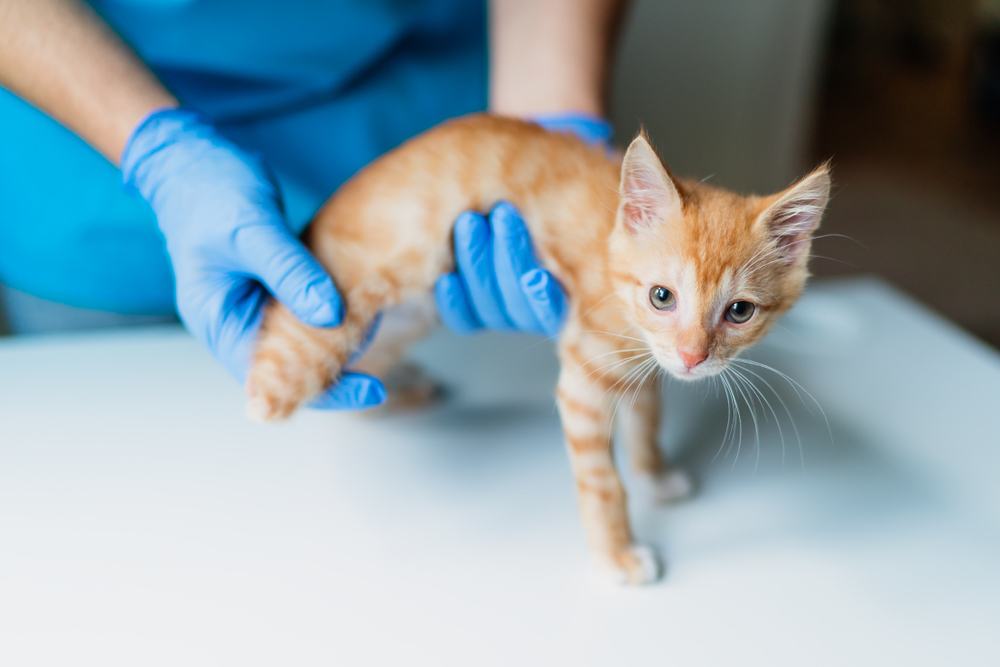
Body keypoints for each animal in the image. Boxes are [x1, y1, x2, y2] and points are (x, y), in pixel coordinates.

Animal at [244, 113, 828, 584]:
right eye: (662, 296)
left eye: (739, 312)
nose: (693, 358)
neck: (612, 260)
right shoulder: (585, 380)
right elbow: (602, 482)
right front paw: (617, 554)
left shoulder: (641, 364)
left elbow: (646, 417)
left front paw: (654, 473)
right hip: (354, 299)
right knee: (295, 360)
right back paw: (265, 393)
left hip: (404, 322)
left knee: (364, 386)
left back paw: (405, 385)